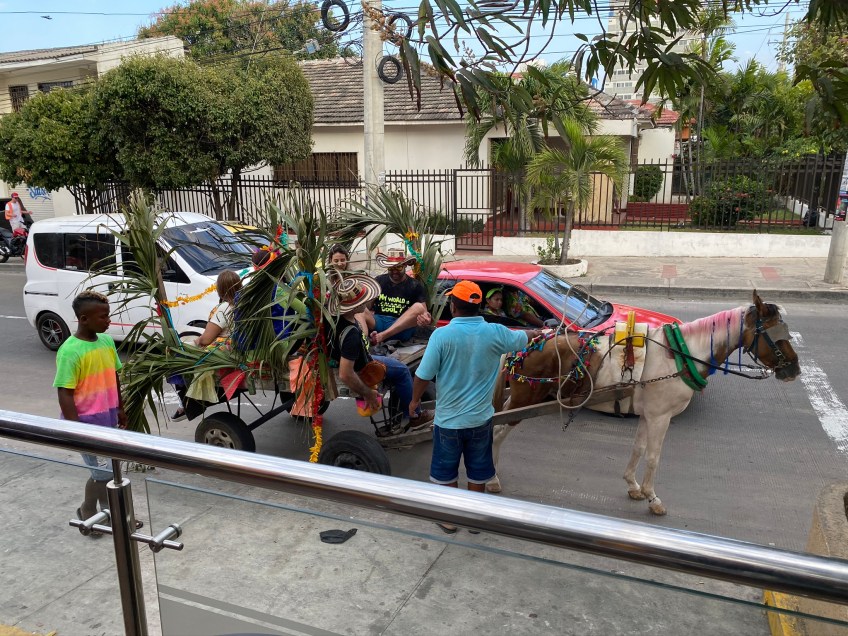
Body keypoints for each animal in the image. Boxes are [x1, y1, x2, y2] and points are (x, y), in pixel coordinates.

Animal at [489, 291, 800, 516]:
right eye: (774, 334)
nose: (794, 369)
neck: (680, 354)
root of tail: (524, 343)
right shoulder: (661, 417)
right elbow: (653, 457)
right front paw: (653, 498)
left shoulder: (646, 415)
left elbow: (638, 449)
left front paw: (633, 486)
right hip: (526, 398)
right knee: (496, 429)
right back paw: (491, 477)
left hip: (519, 396)